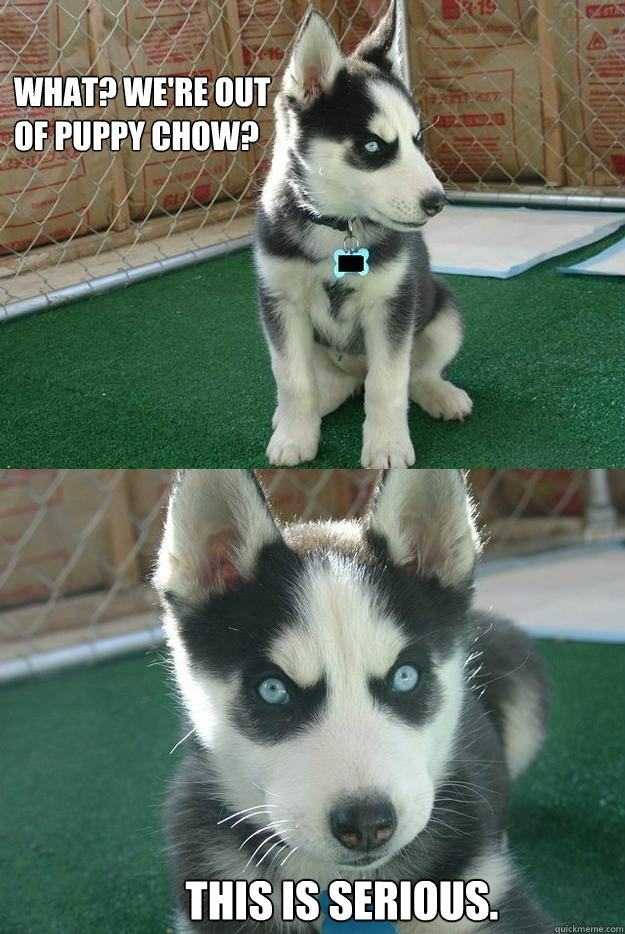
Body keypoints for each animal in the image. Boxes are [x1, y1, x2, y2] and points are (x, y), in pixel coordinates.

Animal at [256, 0, 470, 468]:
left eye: (417, 140)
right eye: (373, 147)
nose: (438, 201)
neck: (338, 226)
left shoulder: (392, 305)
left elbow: (388, 383)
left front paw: (387, 445)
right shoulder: (280, 303)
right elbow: (292, 379)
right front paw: (294, 437)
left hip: (444, 311)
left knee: (414, 374)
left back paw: (440, 394)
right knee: (327, 385)